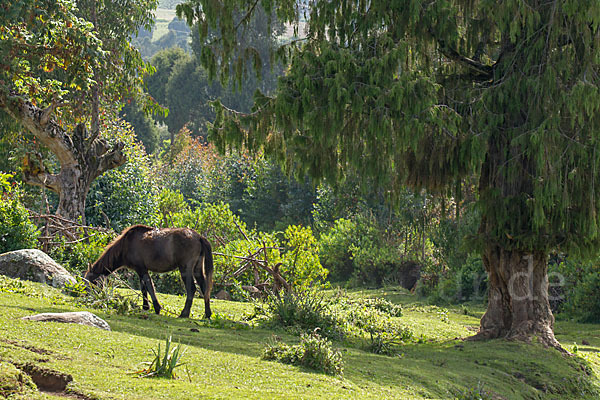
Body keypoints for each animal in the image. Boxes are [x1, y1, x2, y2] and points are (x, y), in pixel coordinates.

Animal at [83, 225, 214, 318]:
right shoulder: (139, 270)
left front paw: (156, 307)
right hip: (197, 270)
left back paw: (184, 313)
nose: (89, 299)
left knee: (191, 289)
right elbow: (143, 288)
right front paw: (145, 306)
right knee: (204, 288)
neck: (126, 244)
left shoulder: (141, 269)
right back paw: (207, 314)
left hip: (185, 269)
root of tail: (198, 236)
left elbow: (149, 286)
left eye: (92, 283)